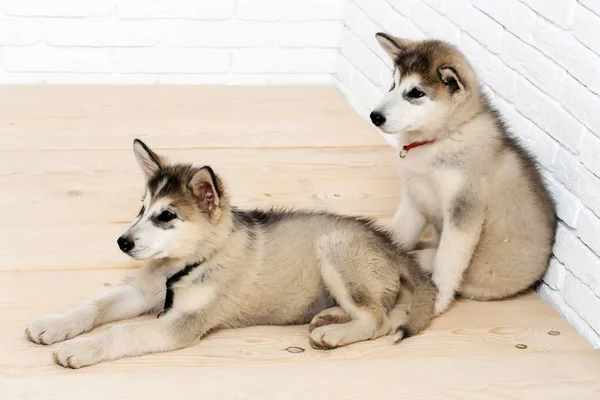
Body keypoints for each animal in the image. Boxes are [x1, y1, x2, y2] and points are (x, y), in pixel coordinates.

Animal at [25, 139, 436, 368]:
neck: (187, 263)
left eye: (167, 216)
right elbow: (94, 305)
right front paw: (55, 325)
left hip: (333, 248)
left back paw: (334, 334)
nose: (122, 242)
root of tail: (388, 242)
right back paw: (329, 316)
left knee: (380, 318)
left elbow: (122, 332)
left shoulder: (180, 324)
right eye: (141, 209)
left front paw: (81, 349)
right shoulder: (141, 292)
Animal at [370, 32, 556, 318]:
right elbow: (399, 234)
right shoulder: (414, 195)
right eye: (394, 84)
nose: (375, 116)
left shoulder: (464, 209)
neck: (442, 137)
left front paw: (435, 301)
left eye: (416, 93)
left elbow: (447, 261)